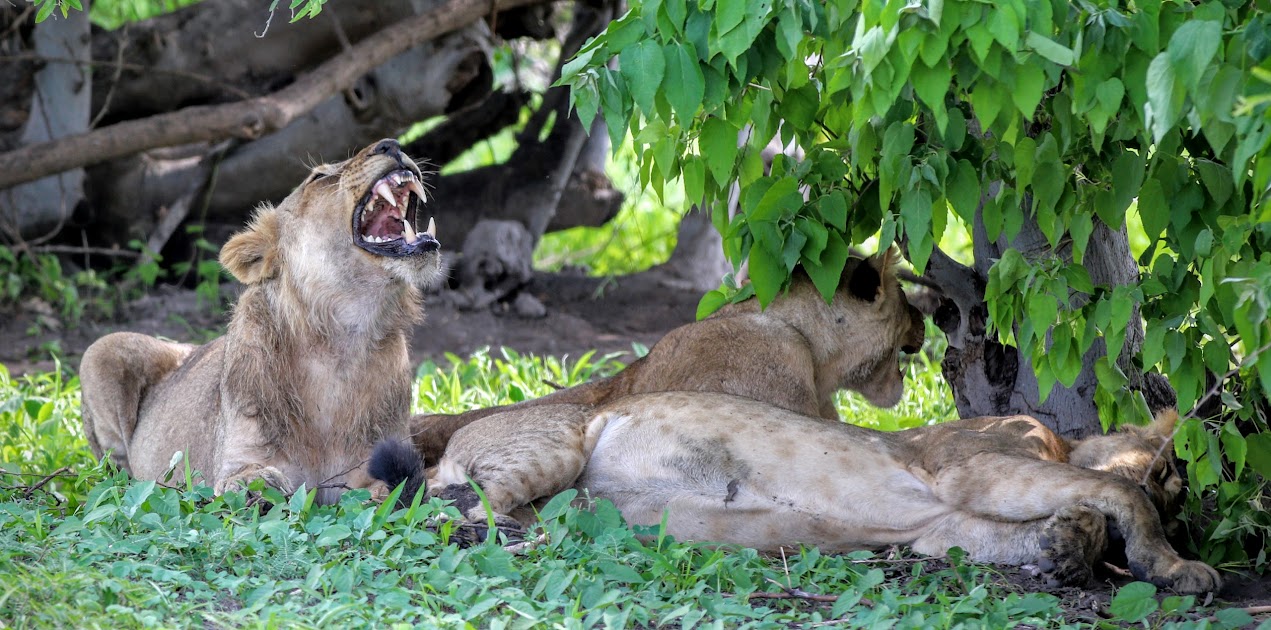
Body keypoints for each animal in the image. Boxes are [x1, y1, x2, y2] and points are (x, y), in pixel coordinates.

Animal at [83, 140, 442, 505]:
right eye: (318, 177)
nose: (392, 144)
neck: (342, 340)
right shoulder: (235, 457)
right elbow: (239, 477)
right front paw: (257, 485)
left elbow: (391, 485)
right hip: (101, 349)